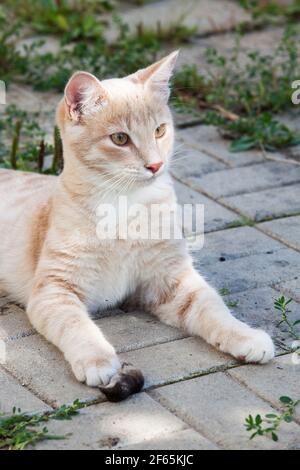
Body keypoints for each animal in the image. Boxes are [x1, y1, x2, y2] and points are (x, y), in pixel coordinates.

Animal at [0, 51, 274, 400]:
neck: (124, 206)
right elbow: (77, 325)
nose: (155, 164)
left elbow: (213, 307)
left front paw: (245, 336)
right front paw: (98, 360)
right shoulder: (55, 289)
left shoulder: (171, 280)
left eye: (159, 130)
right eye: (120, 138)